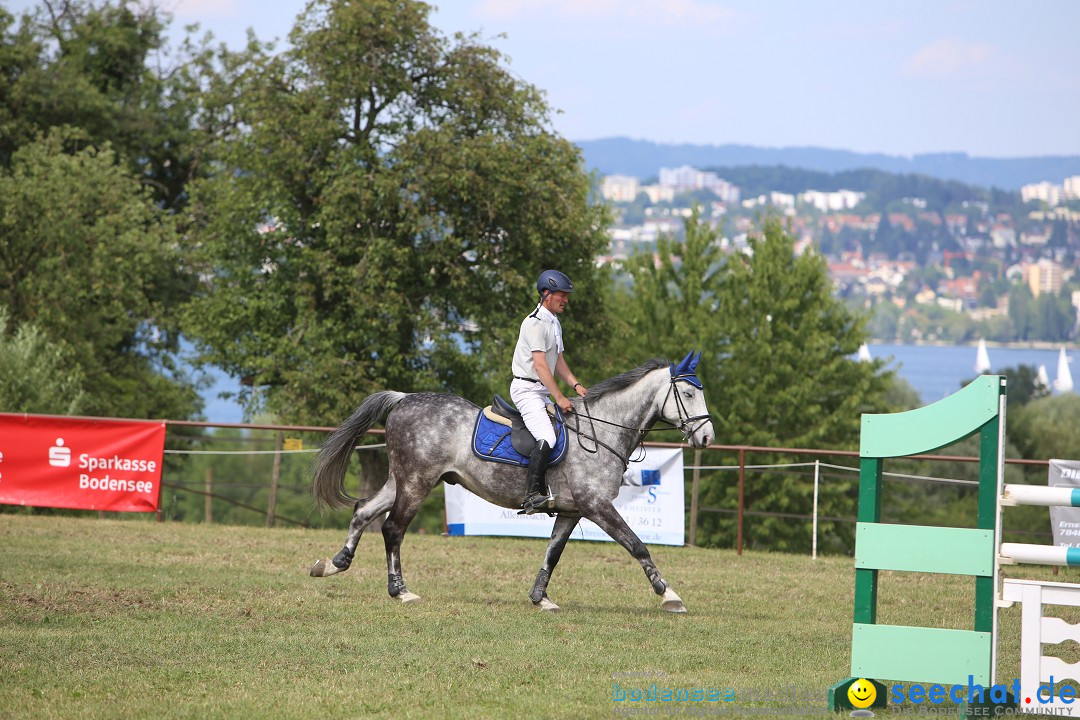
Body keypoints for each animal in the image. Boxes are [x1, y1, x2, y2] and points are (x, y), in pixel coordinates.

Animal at [308, 354, 712, 613]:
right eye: (688, 393)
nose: (707, 437)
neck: (601, 432)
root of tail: (405, 399)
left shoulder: (572, 510)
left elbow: (553, 553)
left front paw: (540, 598)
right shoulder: (597, 505)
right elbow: (637, 545)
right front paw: (669, 595)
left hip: (401, 479)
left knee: (363, 511)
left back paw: (333, 564)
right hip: (417, 482)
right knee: (393, 529)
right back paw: (400, 592)